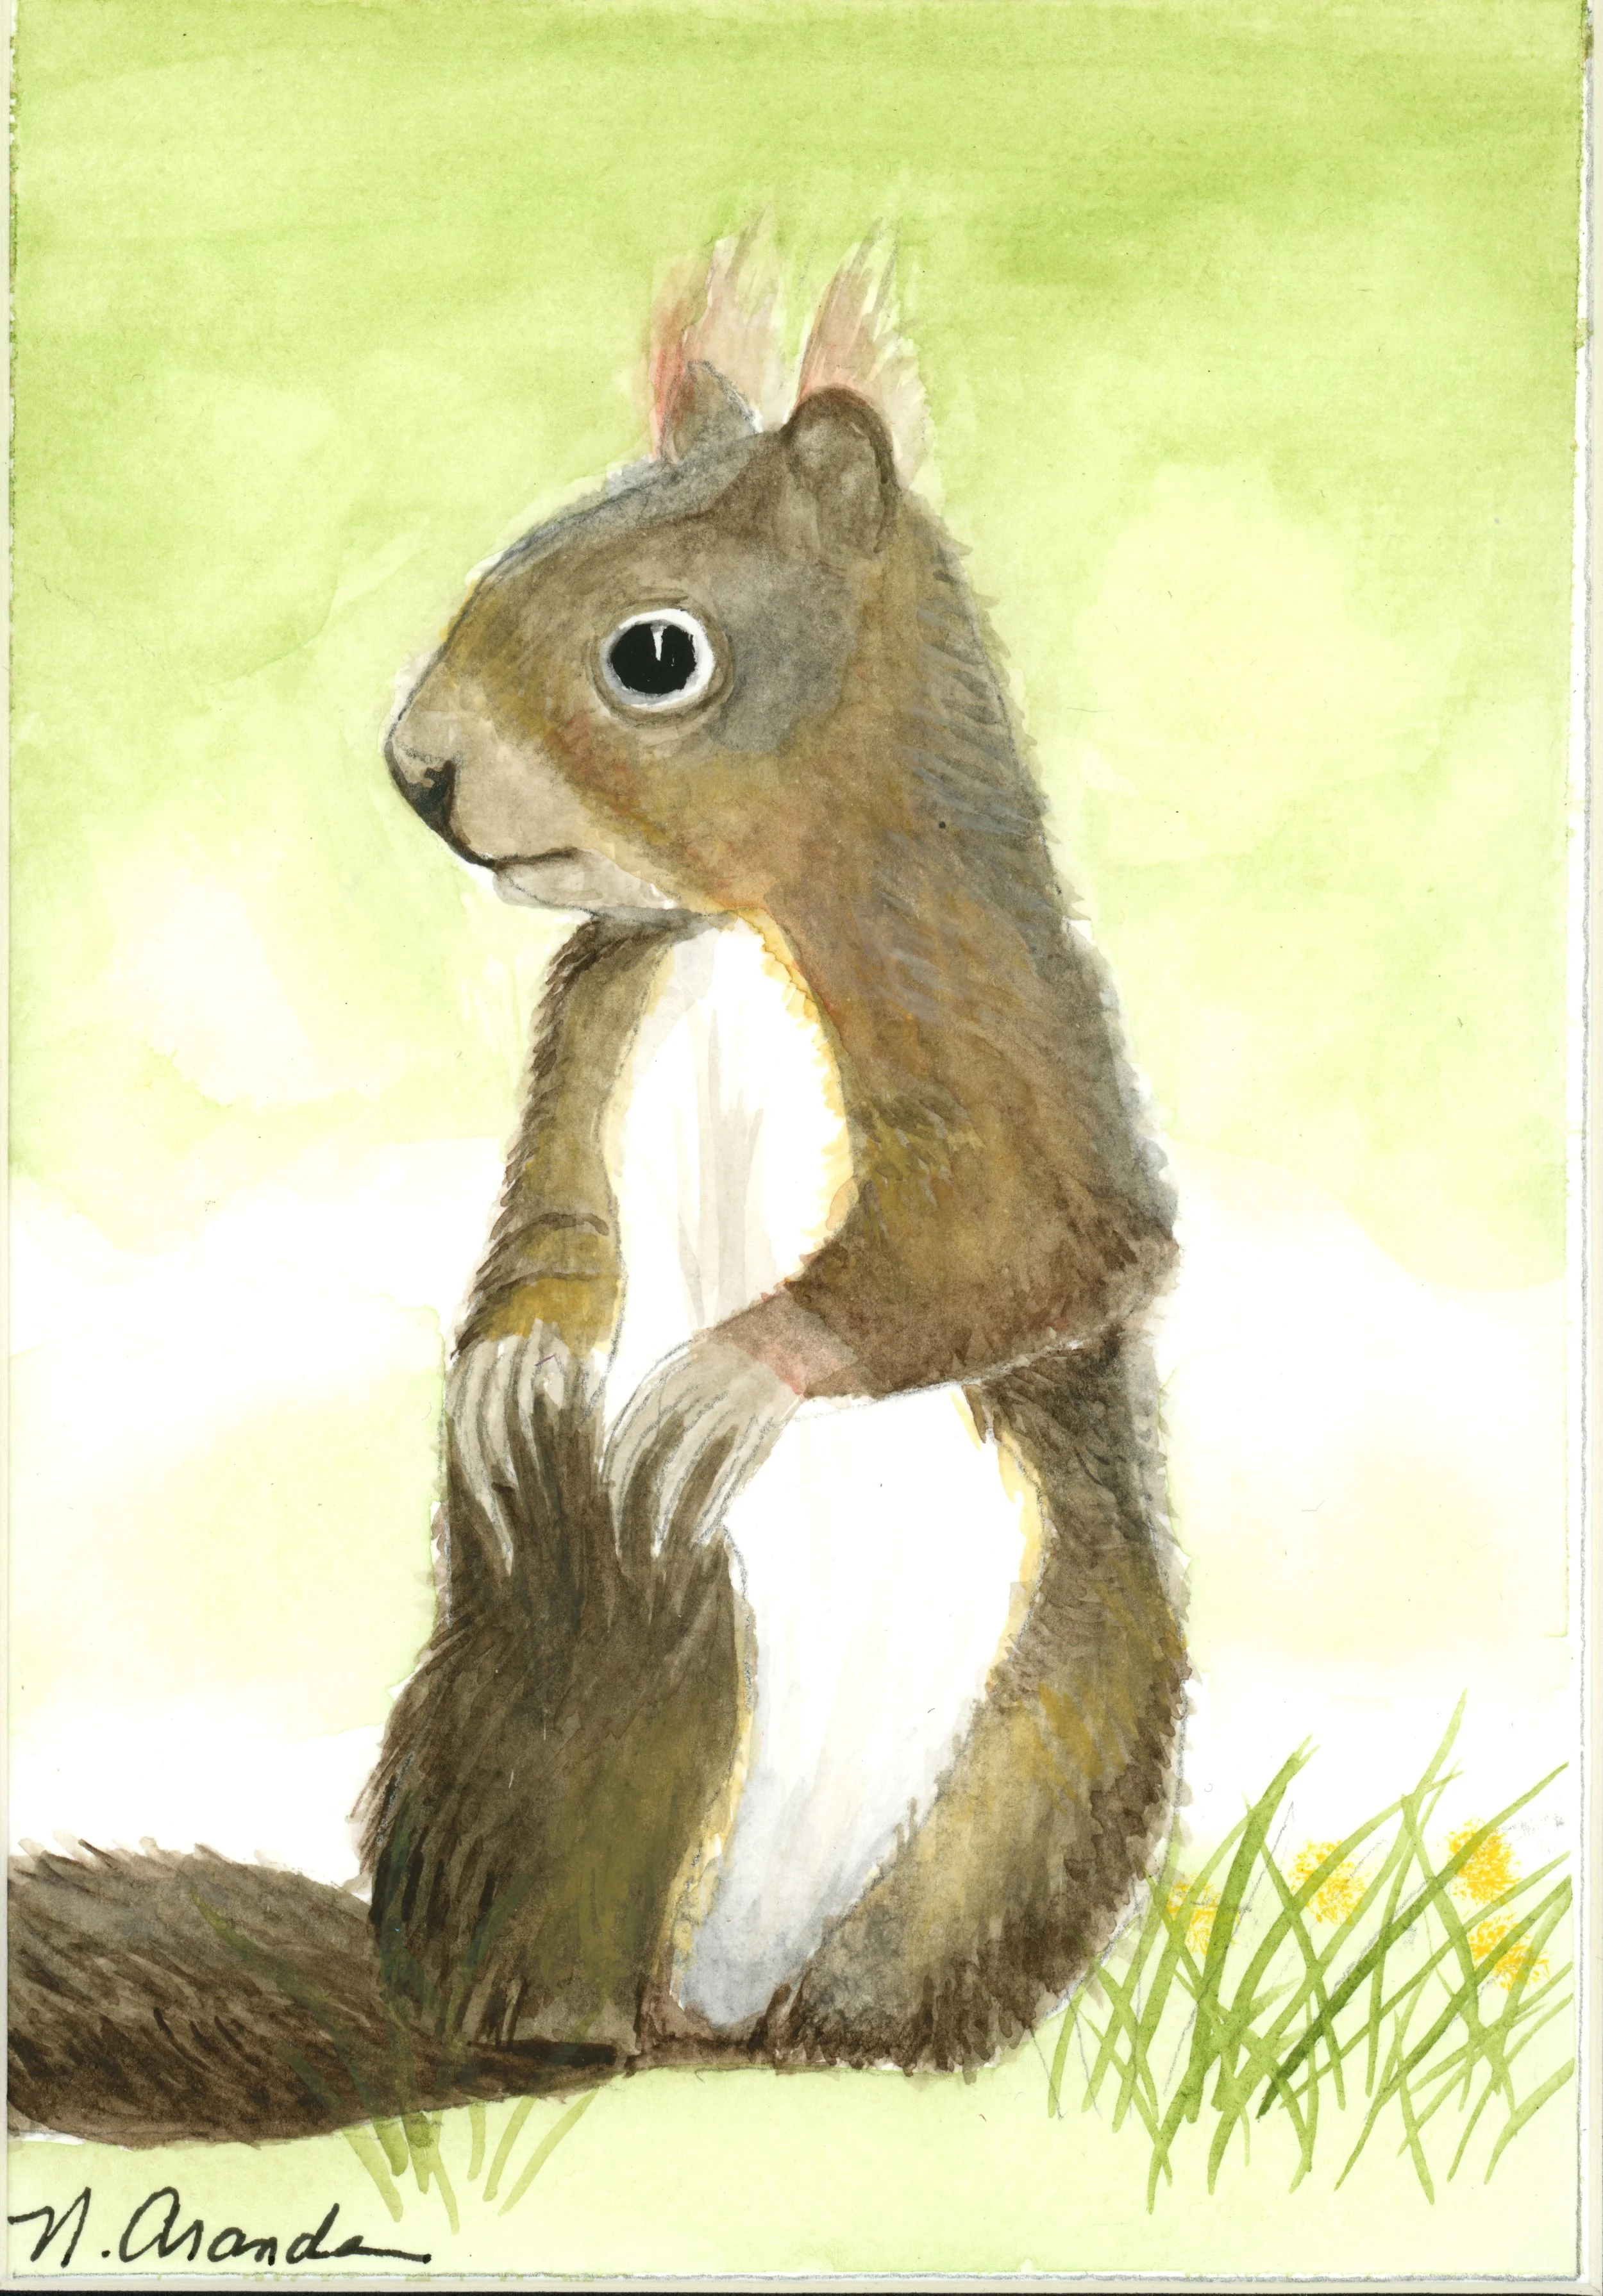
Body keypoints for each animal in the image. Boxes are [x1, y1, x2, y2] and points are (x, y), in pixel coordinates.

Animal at [8, 236, 1186, 2147]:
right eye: (504, 557)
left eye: (656, 655)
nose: (418, 767)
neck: (735, 924)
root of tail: (715, 2008)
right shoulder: (591, 1023)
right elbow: (549, 1224)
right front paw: (512, 1363)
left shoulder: (1000, 1018)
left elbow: (1032, 1229)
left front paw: (732, 1371)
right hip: (573, 1682)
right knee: (557, 1947)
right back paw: (556, 2032)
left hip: (1055, 1747)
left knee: (904, 1972)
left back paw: (867, 2045)